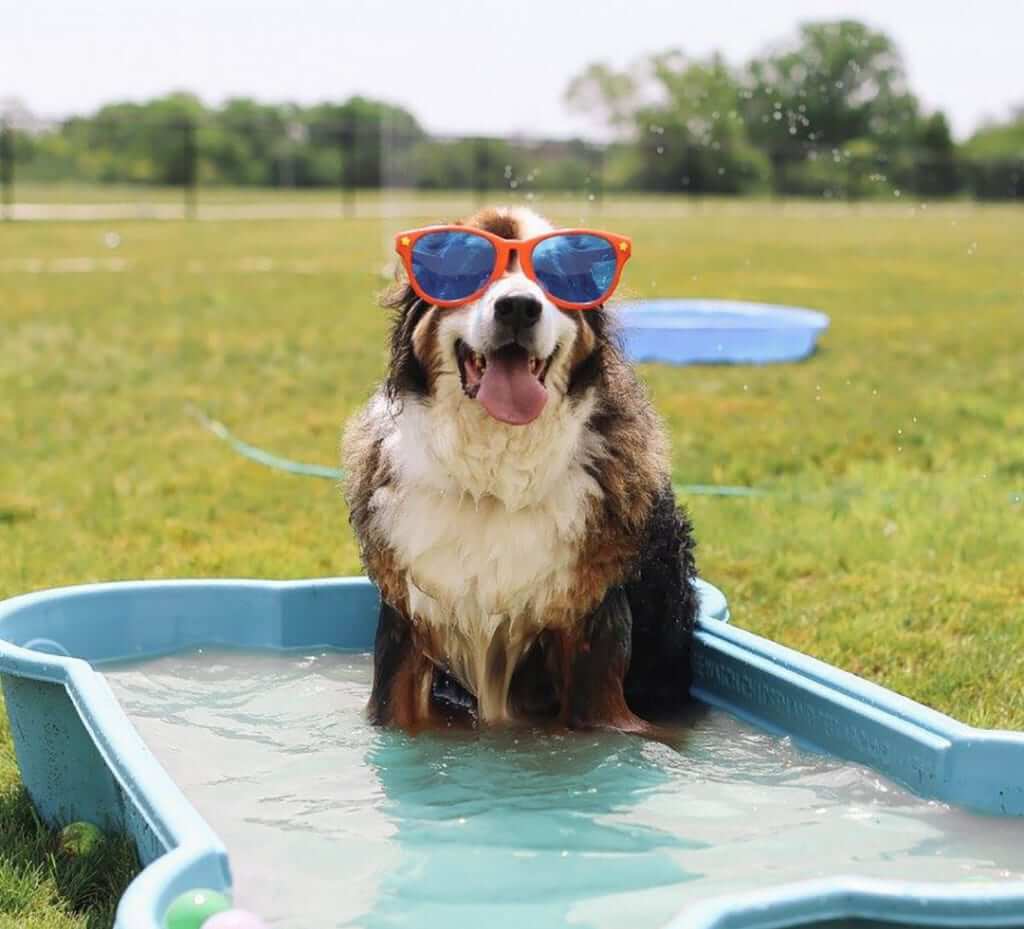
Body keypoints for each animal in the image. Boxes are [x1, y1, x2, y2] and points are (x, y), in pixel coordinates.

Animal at [342, 204, 696, 733]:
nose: (517, 308)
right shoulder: (406, 623)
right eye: (467, 270)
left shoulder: (593, 636)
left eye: (558, 277)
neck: (495, 479)